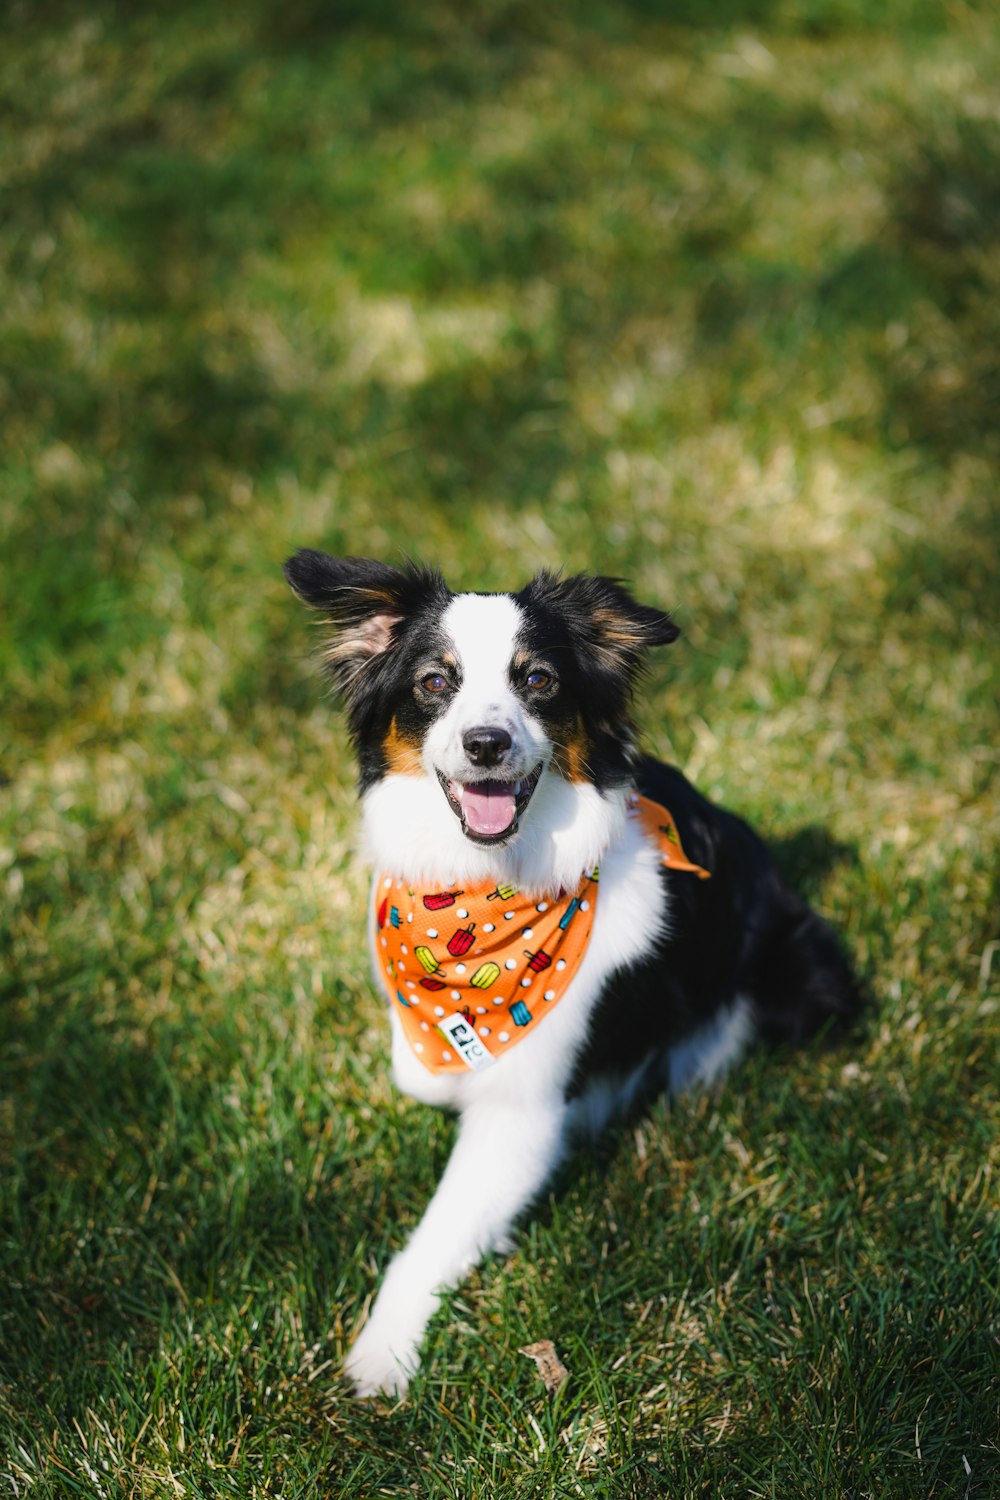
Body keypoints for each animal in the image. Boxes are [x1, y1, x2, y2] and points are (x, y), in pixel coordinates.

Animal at [283, 549, 863, 1392]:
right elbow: (417, 1069)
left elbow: (431, 1239)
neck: (481, 896)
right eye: (435, 681)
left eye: (538, 679)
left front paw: (381, 1357)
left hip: (800, 976)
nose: (486, 744)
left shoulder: (523, 1114)